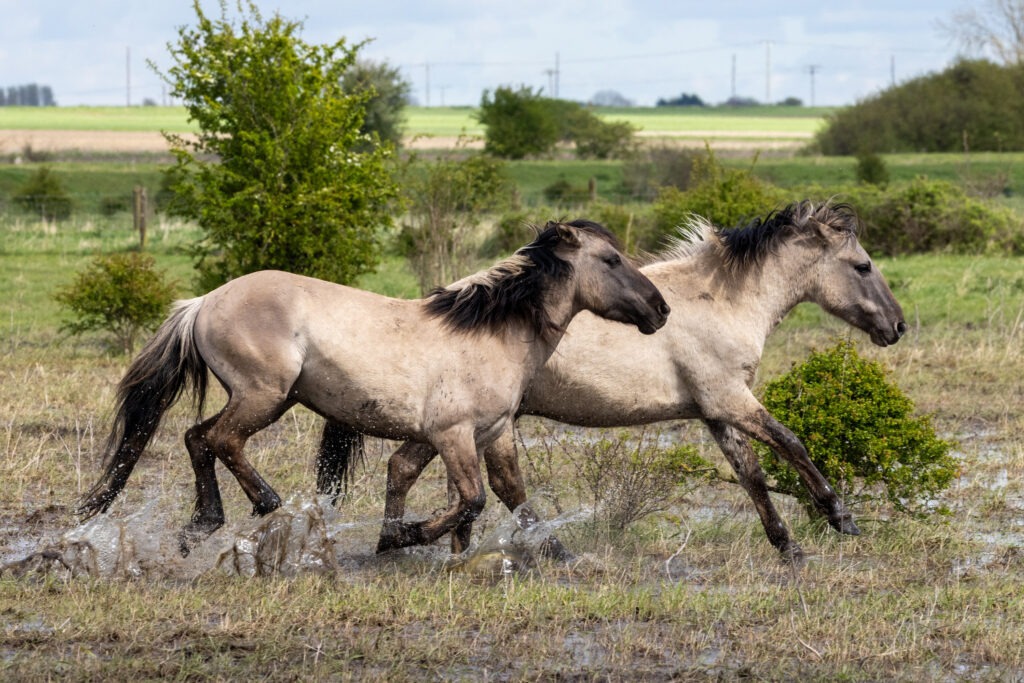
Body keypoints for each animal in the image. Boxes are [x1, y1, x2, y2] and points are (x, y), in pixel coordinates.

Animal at [79, 222, 671, 552]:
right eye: (611, 260)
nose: (660, 309)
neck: (491, 333)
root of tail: (202, 302)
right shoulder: (453, 435)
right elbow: (472, 499)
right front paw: (405, 537)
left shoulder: (488, 433)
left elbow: (504, 493)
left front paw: (537, 552)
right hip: (263, 395)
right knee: (217, 439)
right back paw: (258, 505)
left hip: (263, 397)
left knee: (196, 439)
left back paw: (200, 526)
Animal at [339, 198, 909, 561]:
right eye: (863, 266)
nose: (898, 327)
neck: (726, 302)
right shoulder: (730, 399)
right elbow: (792, 443)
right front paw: (840, 517)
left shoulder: (716, 411)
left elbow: (751, 475)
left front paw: (788, 546)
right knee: (458, 479)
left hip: (466, 424)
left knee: (416, 472)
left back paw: (431, 548)